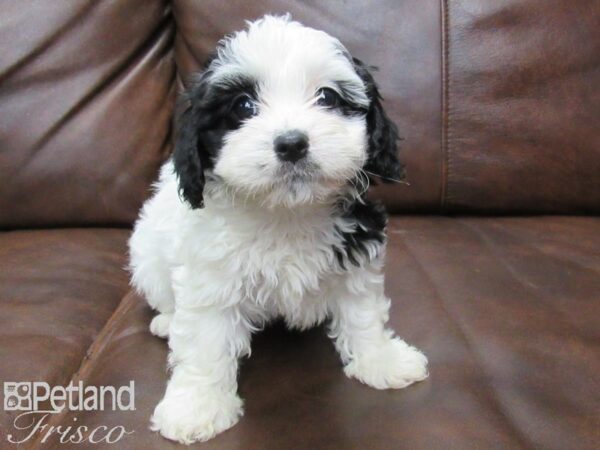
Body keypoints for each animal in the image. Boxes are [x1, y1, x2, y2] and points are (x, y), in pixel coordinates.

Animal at [129, 14, 428, 442]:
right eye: (243, 105)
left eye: (327, 97)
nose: (291, 144)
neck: (286, 212)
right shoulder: (211, 276)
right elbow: (205, 341)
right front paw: (197, 406)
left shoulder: (355, 249)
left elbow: (362, 311)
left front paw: (380, 360)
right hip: (146, 254)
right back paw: (167, 321)